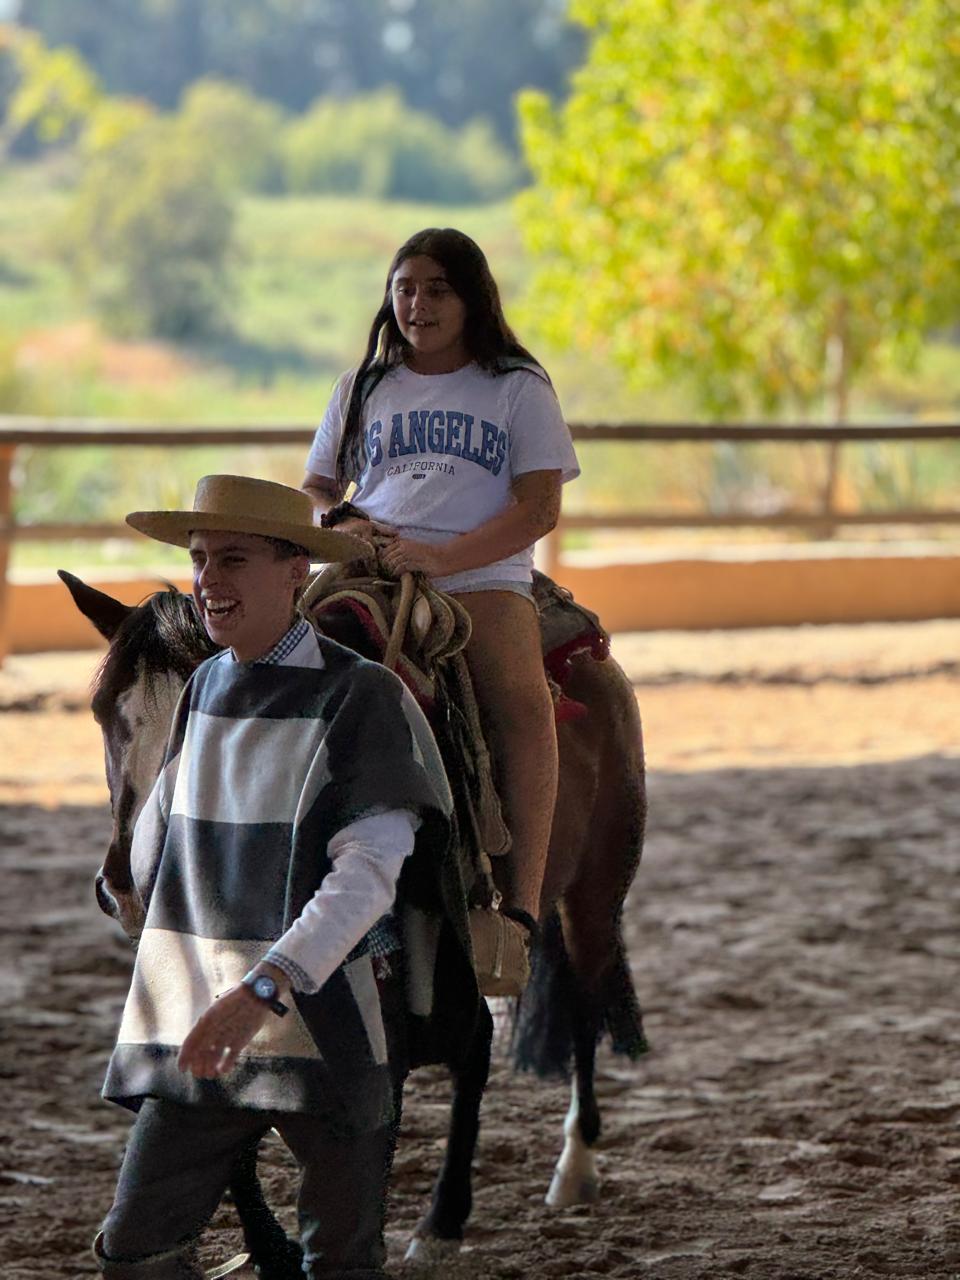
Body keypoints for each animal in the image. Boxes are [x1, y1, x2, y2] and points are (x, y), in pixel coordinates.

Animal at [58, 573, 647, 1280]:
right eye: (101, 713)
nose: (127, 886)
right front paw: (270, 1248)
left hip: (586, 898)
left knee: (575, 1008)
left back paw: (548, 1178)